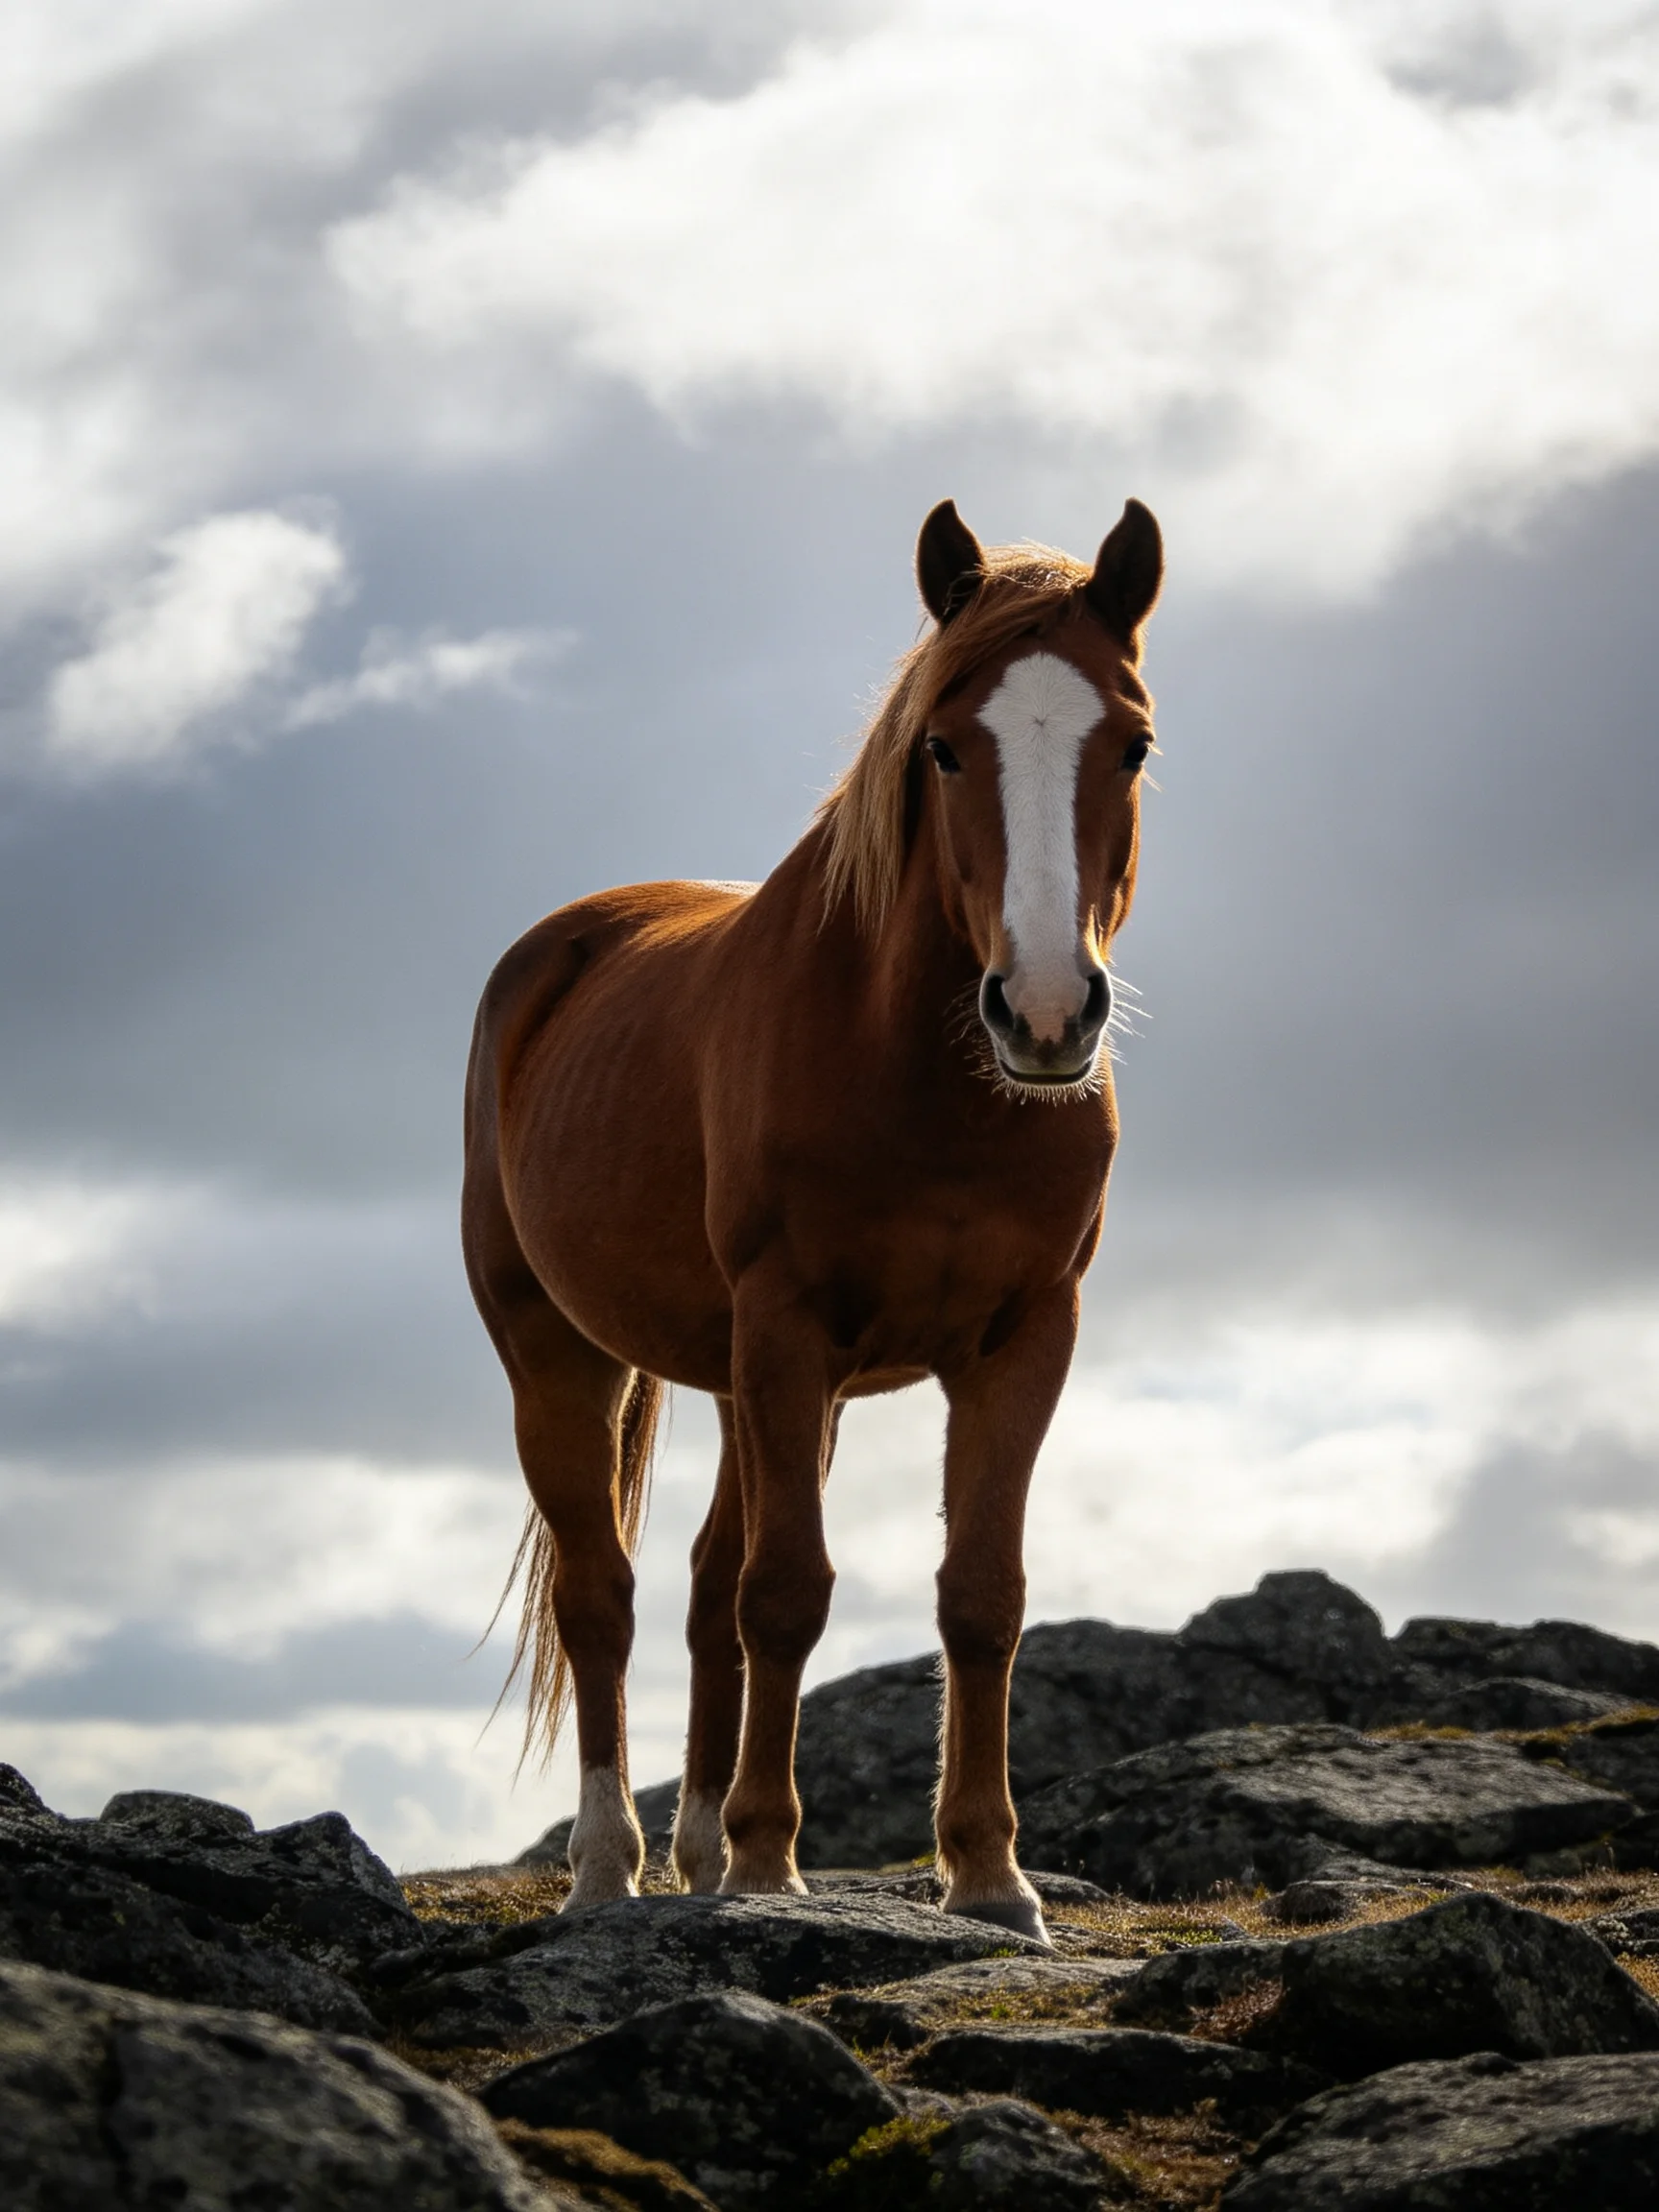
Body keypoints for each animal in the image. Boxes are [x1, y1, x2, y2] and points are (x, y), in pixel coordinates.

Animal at [463, 495, 1163, 1945]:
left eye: (1132, 742)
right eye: (944, 746)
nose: (1047, 1013)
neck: (923, 1078)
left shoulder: (1023, 1338)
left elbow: (981, 1595)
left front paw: (989, 1877)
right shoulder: (786, 1328)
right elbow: (786, 1592)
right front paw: (772, 1863)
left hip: (752, 1385)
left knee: (696, 1589)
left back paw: (689, 1853)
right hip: (561, 1355)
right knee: (601, 1596)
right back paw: (611, 1870)